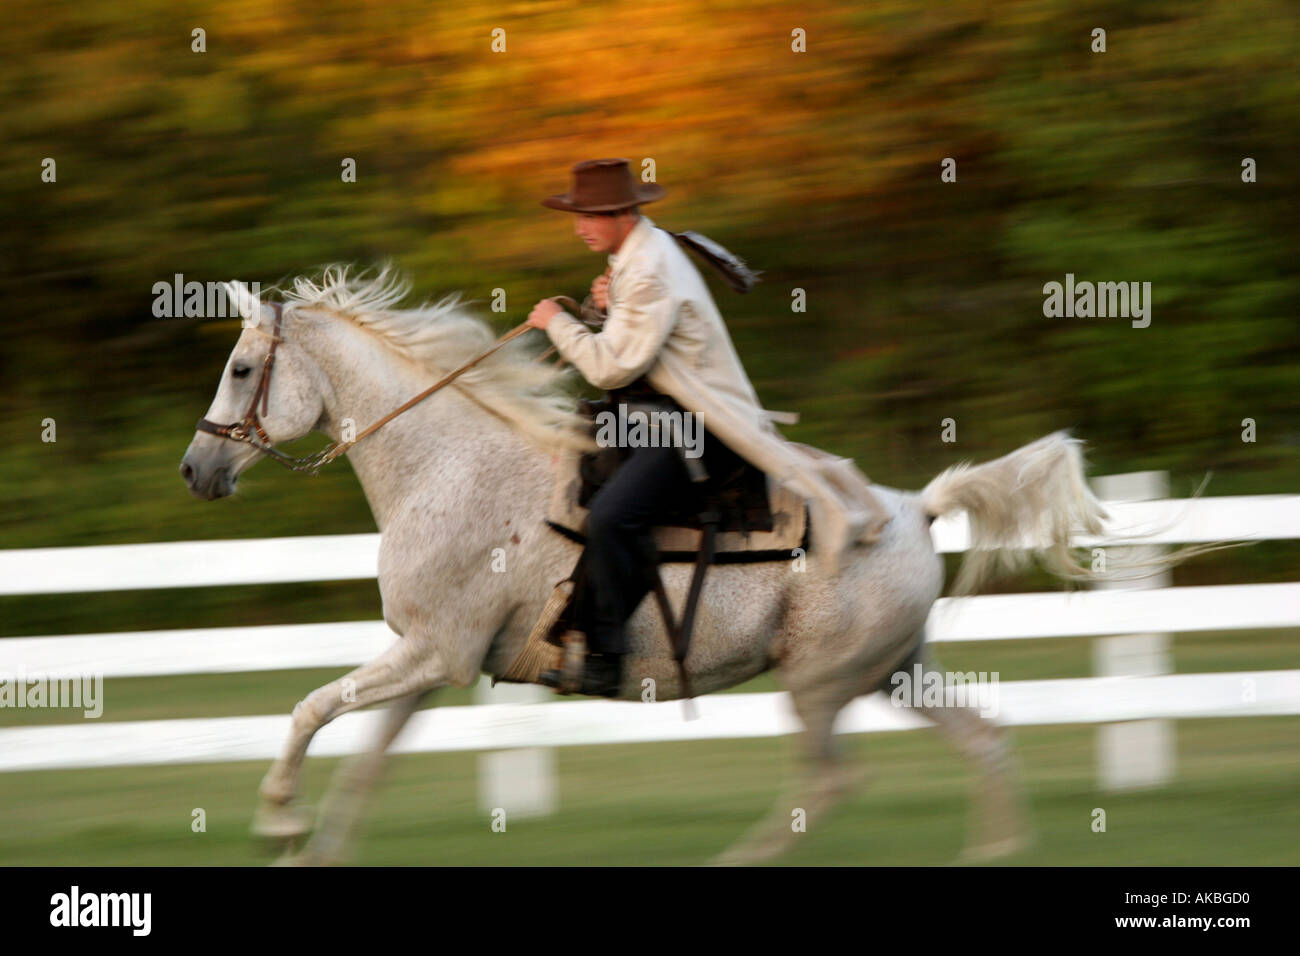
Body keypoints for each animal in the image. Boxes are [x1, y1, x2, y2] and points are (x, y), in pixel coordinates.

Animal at [180, 265, 1118, 863]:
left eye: (242, 366)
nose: (197, 469)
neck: (449, 467)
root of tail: (915, 509)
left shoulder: (431, 655)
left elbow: (308, 710)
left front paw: (276, 823)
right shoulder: (430, 664)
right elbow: (364, 763)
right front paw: (310, 847)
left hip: (820, 686)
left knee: (832, 783)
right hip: (893, 671)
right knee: (984, 740)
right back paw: (993, 850)